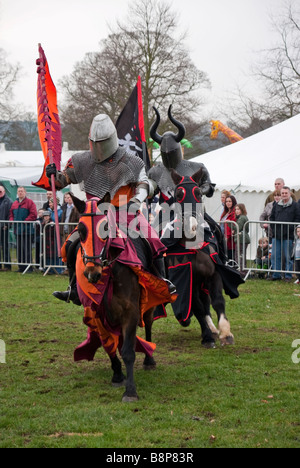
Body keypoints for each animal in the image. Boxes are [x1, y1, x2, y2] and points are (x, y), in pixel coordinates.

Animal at [69, 194, 166, 402]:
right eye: (80, 231)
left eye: (106, 228)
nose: (92, 274)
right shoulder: (95, 313)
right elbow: (109, 346)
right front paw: (117, 375)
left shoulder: (131, 312)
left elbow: (128, 351)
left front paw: (130, 391)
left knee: (148, 324)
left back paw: (149, 359)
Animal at [168, 169, 243, 348]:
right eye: (178, 194)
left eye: (198, 193)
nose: (191, 225)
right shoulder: (188, 280)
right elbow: (197, 308)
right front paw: (207, 337)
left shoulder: (213, 274)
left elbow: (217, 301)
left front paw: (226, 333)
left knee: (206, 302)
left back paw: (214, 329)